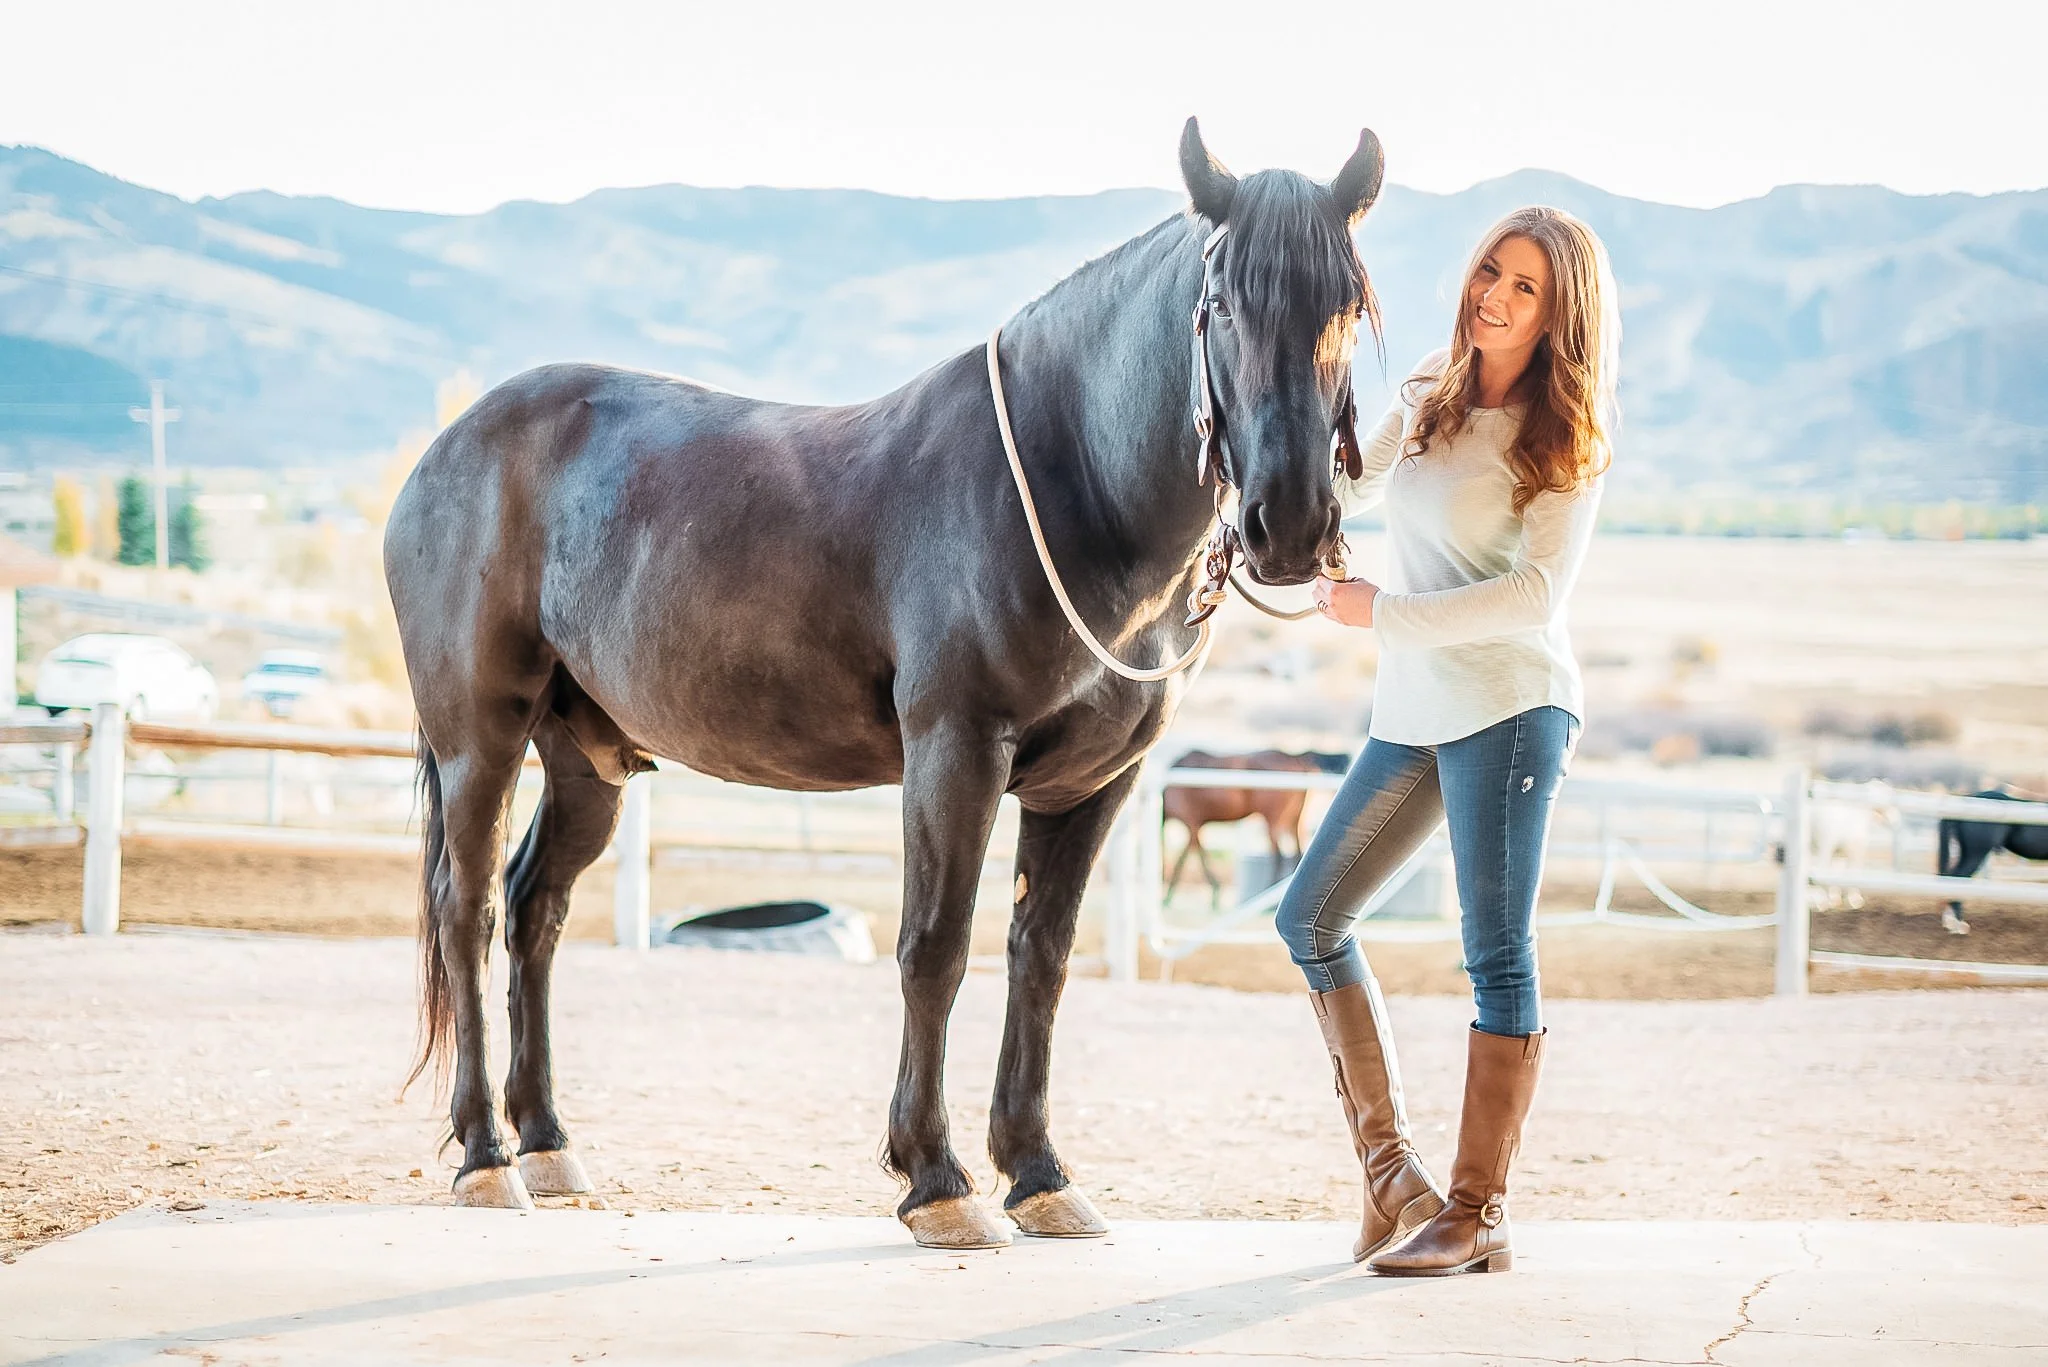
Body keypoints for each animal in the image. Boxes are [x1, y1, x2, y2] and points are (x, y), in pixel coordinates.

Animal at [1163, 748, 1350, 904]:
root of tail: (1295, 757)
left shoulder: (1191, 822)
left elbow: (1190, 855)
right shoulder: (1195, 825)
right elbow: (1188, 854)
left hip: (1274, 820)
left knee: (1278, 855)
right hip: (1295, 820)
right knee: (1296, 852)